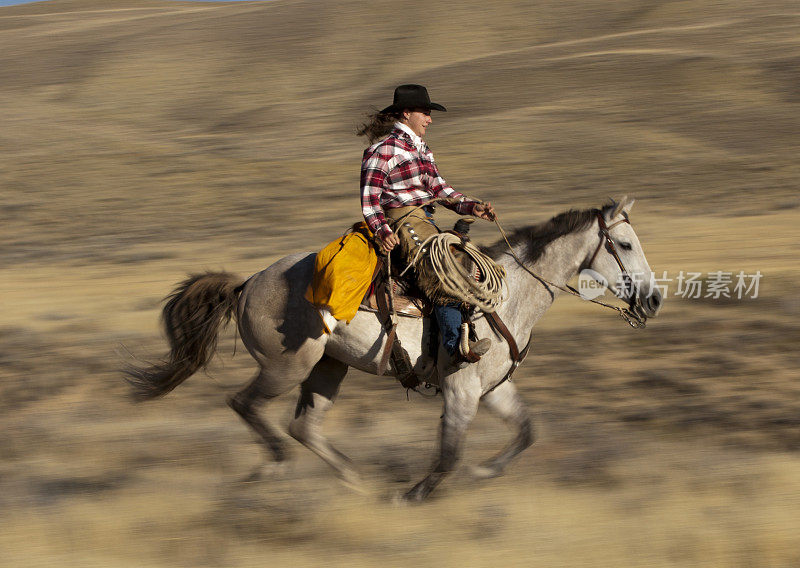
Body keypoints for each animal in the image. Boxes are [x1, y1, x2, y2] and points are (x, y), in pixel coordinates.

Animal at [128, 196, 660, 502]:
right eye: (625, 245)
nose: (653, 299)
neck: (508, 297)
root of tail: (248, 284)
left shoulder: (491, 390)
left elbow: (527, 431)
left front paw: (484, 472)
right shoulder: (461, 389)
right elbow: (448, 453)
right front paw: (414, 495)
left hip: (328, 369)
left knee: (304, 426)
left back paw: (352, 480)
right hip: (287, 366)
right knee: (247, 405)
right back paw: (274, 467)